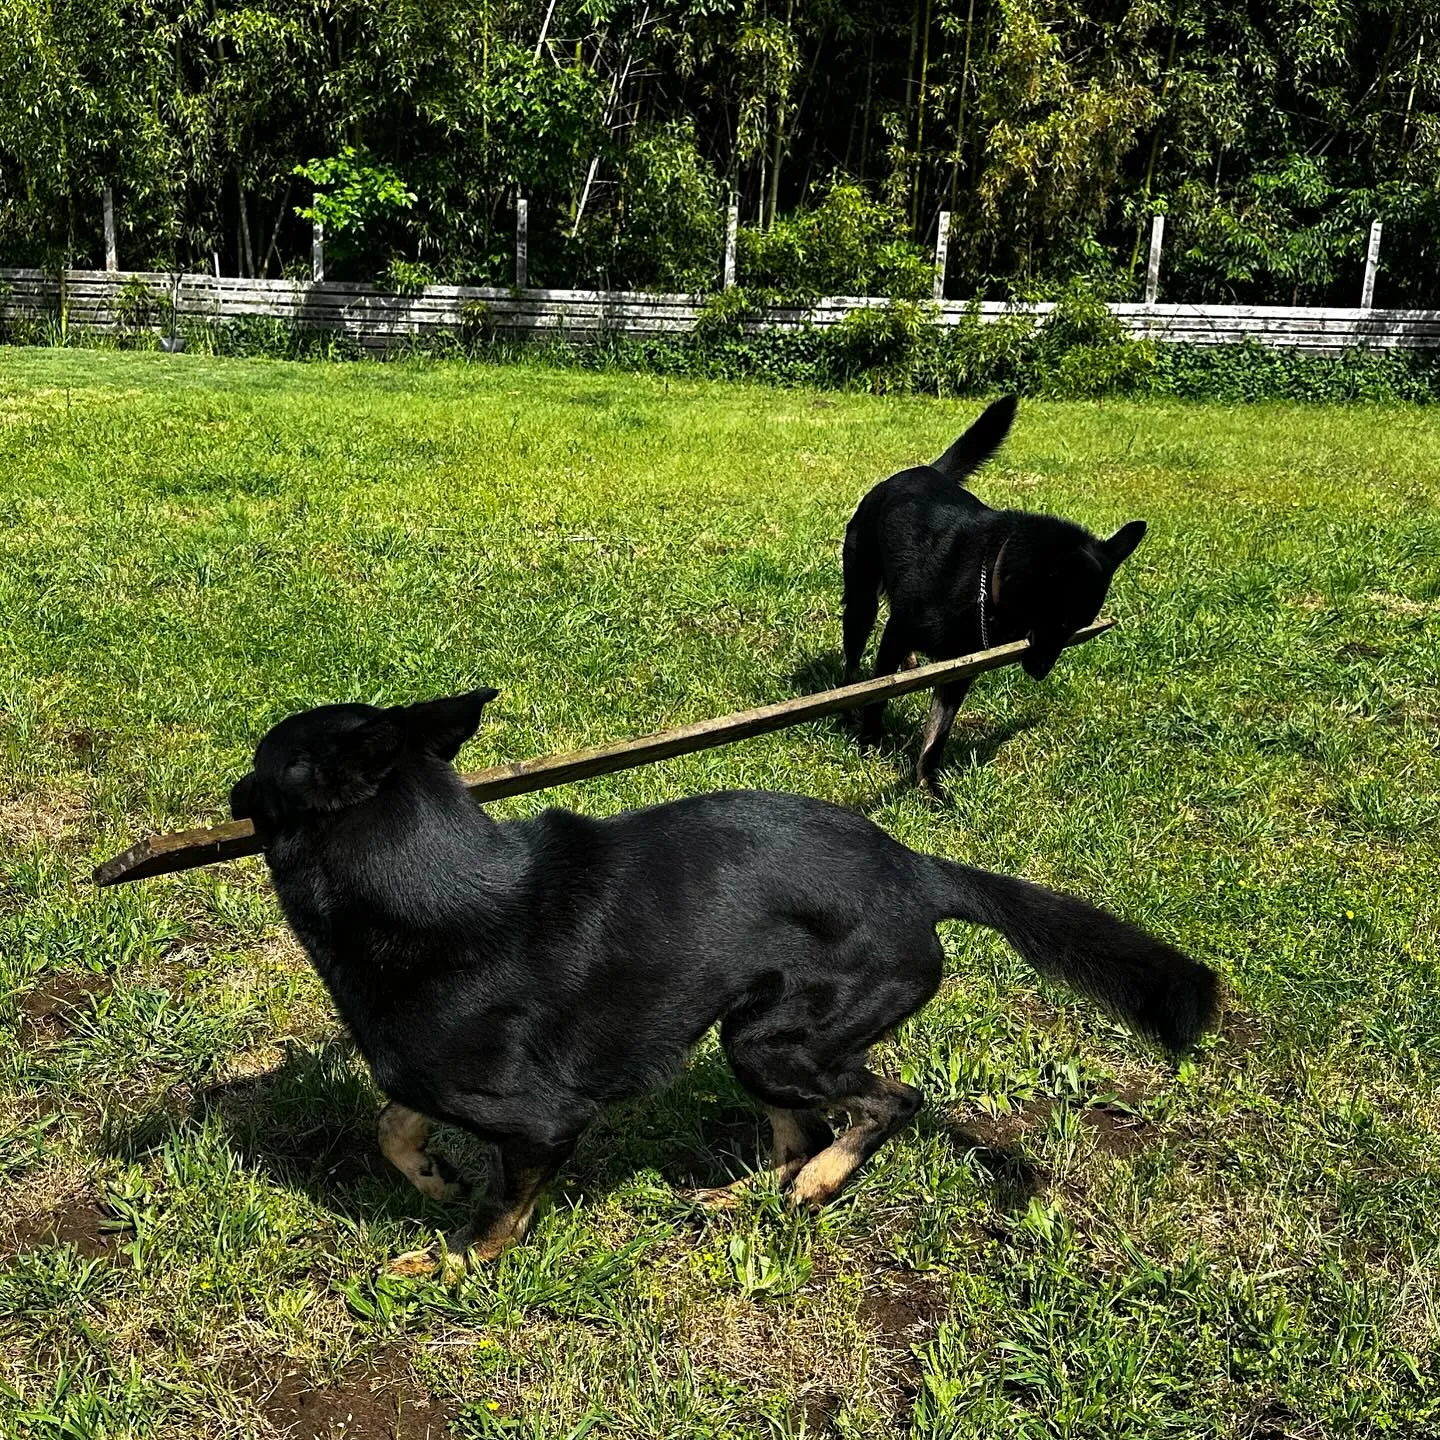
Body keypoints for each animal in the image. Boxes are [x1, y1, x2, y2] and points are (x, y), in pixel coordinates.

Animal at [227, 691, 1215, 1267]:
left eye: (261, 761)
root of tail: (920, 872)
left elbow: (500, 1212)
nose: (226, 788)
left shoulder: (544, 1122)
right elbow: (393, 1123)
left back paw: (817, 1186)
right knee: (798, 1131)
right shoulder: (439, 1082)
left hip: (773, 1041)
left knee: (885, 1103)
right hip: (757, 1037)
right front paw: (433, 1180)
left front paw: (449, 1258)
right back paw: (745, 1193)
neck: (427, 880)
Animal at [840, 394, 1146, 794]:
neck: (986, 575)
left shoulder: (959, 671)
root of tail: (920, 471)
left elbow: (936, 735)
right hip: (861, 601)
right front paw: (870, 741)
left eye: (1079, 627)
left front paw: (929, 787)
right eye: (1059, 620)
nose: (1041, 673)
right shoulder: (896, 635)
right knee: (853, 662)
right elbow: (879, 695)